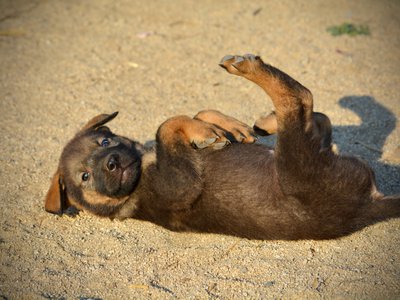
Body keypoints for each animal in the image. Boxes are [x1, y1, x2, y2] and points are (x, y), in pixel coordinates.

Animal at [44, 55, 400, 240]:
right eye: (84, 177)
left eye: (104, 141)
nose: (113, 162)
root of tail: (366, 208)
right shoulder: (178, 184)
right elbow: (166, 125)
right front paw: (208, 131)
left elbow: (194, 114)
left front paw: (220, 127)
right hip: (298, 166)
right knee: (298, 99)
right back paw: (249, 70)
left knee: (316, 118)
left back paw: (265, 120)